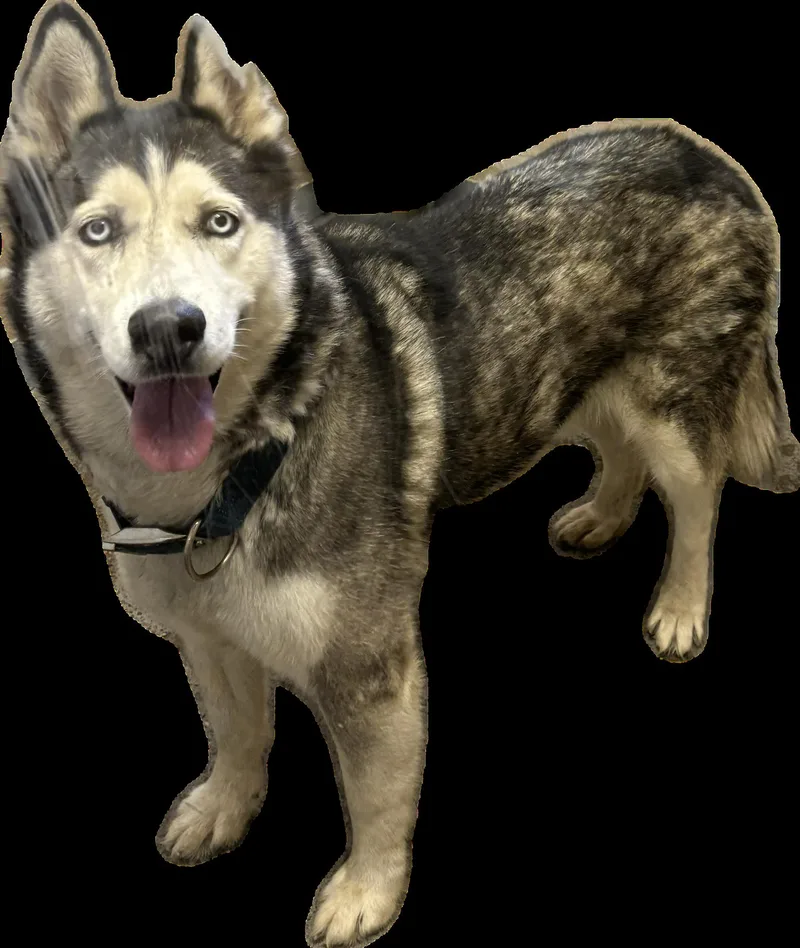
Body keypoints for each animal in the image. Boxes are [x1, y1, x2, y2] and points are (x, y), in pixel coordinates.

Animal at [1, 1, 797, 945]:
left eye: (219, 223)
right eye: (98, 230)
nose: (169, 328)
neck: (234, 476)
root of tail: (705, 152)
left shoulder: (368, 661)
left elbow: (375, 792)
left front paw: (367, 893)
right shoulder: (207, 638)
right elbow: (236, 733)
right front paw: (226, 806)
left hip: (672, 397)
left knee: (698, 494)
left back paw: (679, 606)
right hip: (584, 379)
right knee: (619, 447)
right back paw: (600, 515)